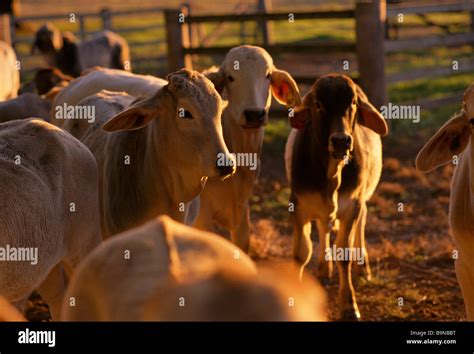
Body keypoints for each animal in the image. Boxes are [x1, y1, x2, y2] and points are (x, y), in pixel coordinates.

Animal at [286, 73, 388, 320]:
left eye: (353, 103)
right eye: (318, 104)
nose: (342, 141)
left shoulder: (352, 206)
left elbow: (344, 254)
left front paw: (349, 305)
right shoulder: (299, 206)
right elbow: (301, 253)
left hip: (361, 201)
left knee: (362, 222)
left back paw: (363, 267)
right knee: (323, 228)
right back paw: (324, 268)